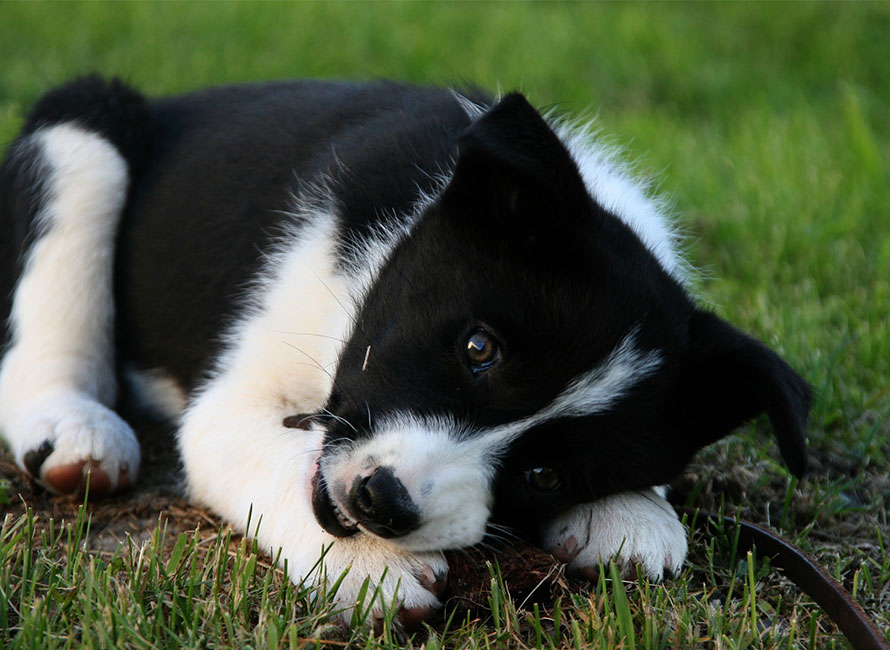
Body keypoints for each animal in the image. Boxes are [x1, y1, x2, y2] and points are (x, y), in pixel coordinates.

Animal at [0, 76, 808, 624]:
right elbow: (269, 455)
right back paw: (72, 429)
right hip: (81, 129)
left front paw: (632, 511)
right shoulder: (233, 405)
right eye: (478, 347)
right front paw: (371, 564)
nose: (381, 504)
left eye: (547, 474)